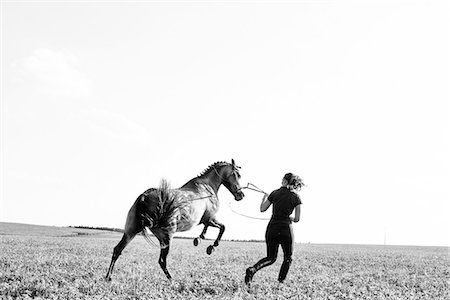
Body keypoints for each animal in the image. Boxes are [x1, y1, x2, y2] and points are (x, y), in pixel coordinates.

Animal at [105, 159, 244, 282]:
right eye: (237, 174)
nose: (241, 195)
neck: (206, 187)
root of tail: (143, 197)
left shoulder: (206, 220)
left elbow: (211, 228)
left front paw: (200, 239)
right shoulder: (210, 218)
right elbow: (222, 227)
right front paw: (211, 245)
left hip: (131, 232)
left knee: (117, 250)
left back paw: (108, 277)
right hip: (166, 237)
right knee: (162, 261)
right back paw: (172, 280)